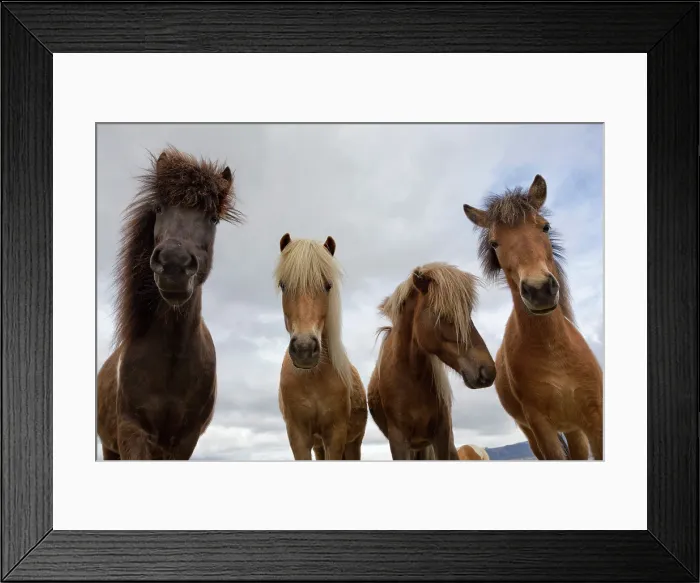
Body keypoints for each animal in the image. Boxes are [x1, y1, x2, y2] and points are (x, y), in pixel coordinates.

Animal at [97, 146, 243, 460]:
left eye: (213, 219)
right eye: (160, 208)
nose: (174, 264)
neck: (172, 359)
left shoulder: (184, 441)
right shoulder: (132, 433)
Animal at [275, 234, 368, 460]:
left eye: (328, 285)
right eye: (283, 285)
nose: (304, 349)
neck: (313, 378)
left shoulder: (335, 435)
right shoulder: (298, 436)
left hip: (353, 444)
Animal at [367, 262, 496, 461]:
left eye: (468, 313)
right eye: (440, 313)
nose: (488, 371)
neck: (411, 379)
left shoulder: (442, 435)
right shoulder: (398, 441)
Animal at [463, 174, 603, 460]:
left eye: (545, 227)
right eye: (494, 243)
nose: (539, 290)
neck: (554, 351)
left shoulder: (594, 421)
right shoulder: (541, 427)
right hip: (531, 431)